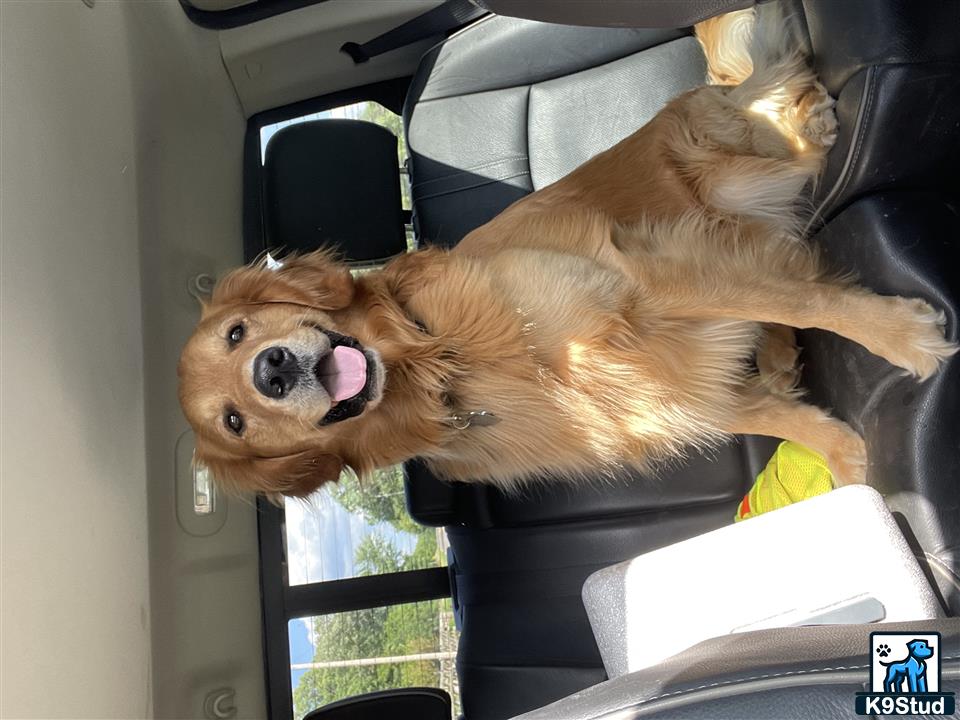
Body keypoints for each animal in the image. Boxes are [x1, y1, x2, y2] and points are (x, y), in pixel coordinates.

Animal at [176, 7, 956, 500]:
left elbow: (804, 298)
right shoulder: (664, 386)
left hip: (725, 165)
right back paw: (777, 354)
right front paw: (844, 462)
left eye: (239, 332)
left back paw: (808, 120)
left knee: (780, 153)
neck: (444, 359)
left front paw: (904, 338)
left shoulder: (636, 275)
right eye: (234, 423)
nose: (273, 370)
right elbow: (767, 412)